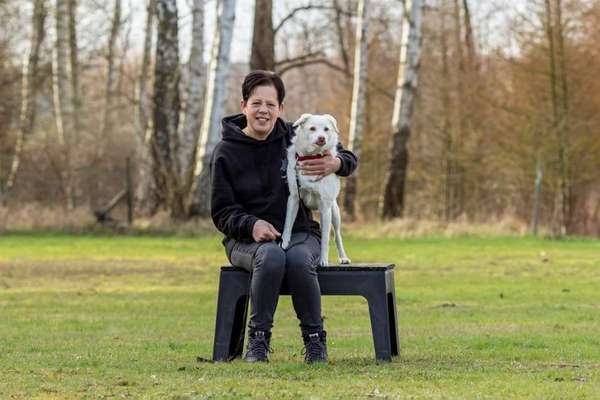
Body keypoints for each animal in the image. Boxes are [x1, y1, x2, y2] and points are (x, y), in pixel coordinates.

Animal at [282, 112, 352, 266]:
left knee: (337, 236)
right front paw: (284, 243)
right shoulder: (294, 198)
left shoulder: (325, 207)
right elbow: (288, 224)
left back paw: (343, 257)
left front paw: (323, 260)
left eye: (326, 129)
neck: (312, 156)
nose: (322, 138)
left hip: (334, 213)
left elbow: (325, 239)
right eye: (312, 128)